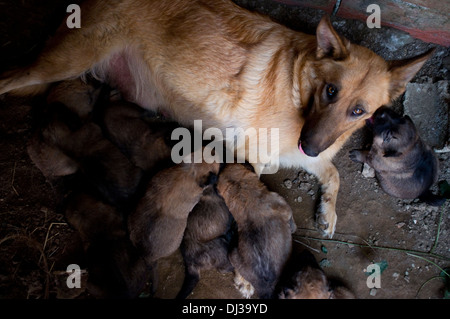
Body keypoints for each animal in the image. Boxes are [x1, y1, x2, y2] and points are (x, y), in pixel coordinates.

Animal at [0, 0, 432, 238]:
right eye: (330, 91)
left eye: (359, 111)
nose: (307, 145)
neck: (299, 89)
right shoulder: (258, 157)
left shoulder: (312, 155)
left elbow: (335, 174)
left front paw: (328, 211)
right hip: (60, 63)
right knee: (7, 80)